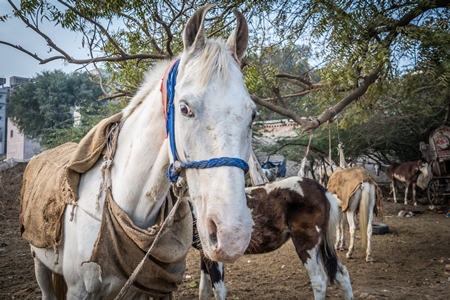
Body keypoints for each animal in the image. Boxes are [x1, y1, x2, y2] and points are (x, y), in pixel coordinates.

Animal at [193, 177, 356, 298]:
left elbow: (218, 291)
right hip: (321, 244)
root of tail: (320, 189)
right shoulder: (204, 253)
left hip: (307, 243)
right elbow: (204, 291)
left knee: (319, 281)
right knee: (342, 275)